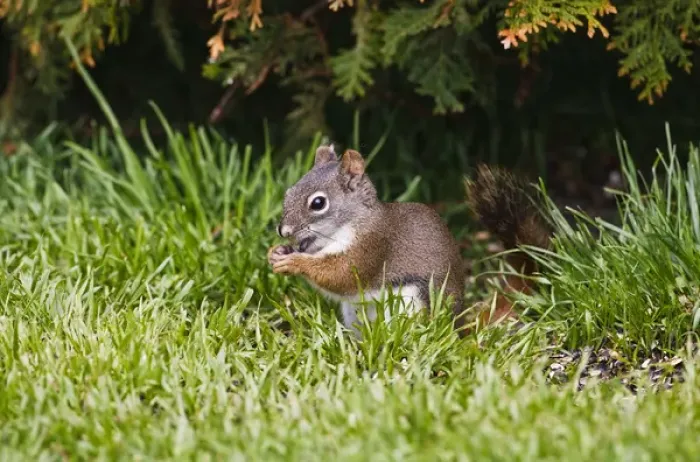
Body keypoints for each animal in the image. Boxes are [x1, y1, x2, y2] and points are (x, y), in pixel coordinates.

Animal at [267, 144, 551, 336]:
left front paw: (295, 263)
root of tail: (456, 328)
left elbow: (341, 275)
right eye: (289, 192)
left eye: (318, 203)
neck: (340, 230)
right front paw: (277, 252)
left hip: (411, 303)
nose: (283, 230)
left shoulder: (373, 247)